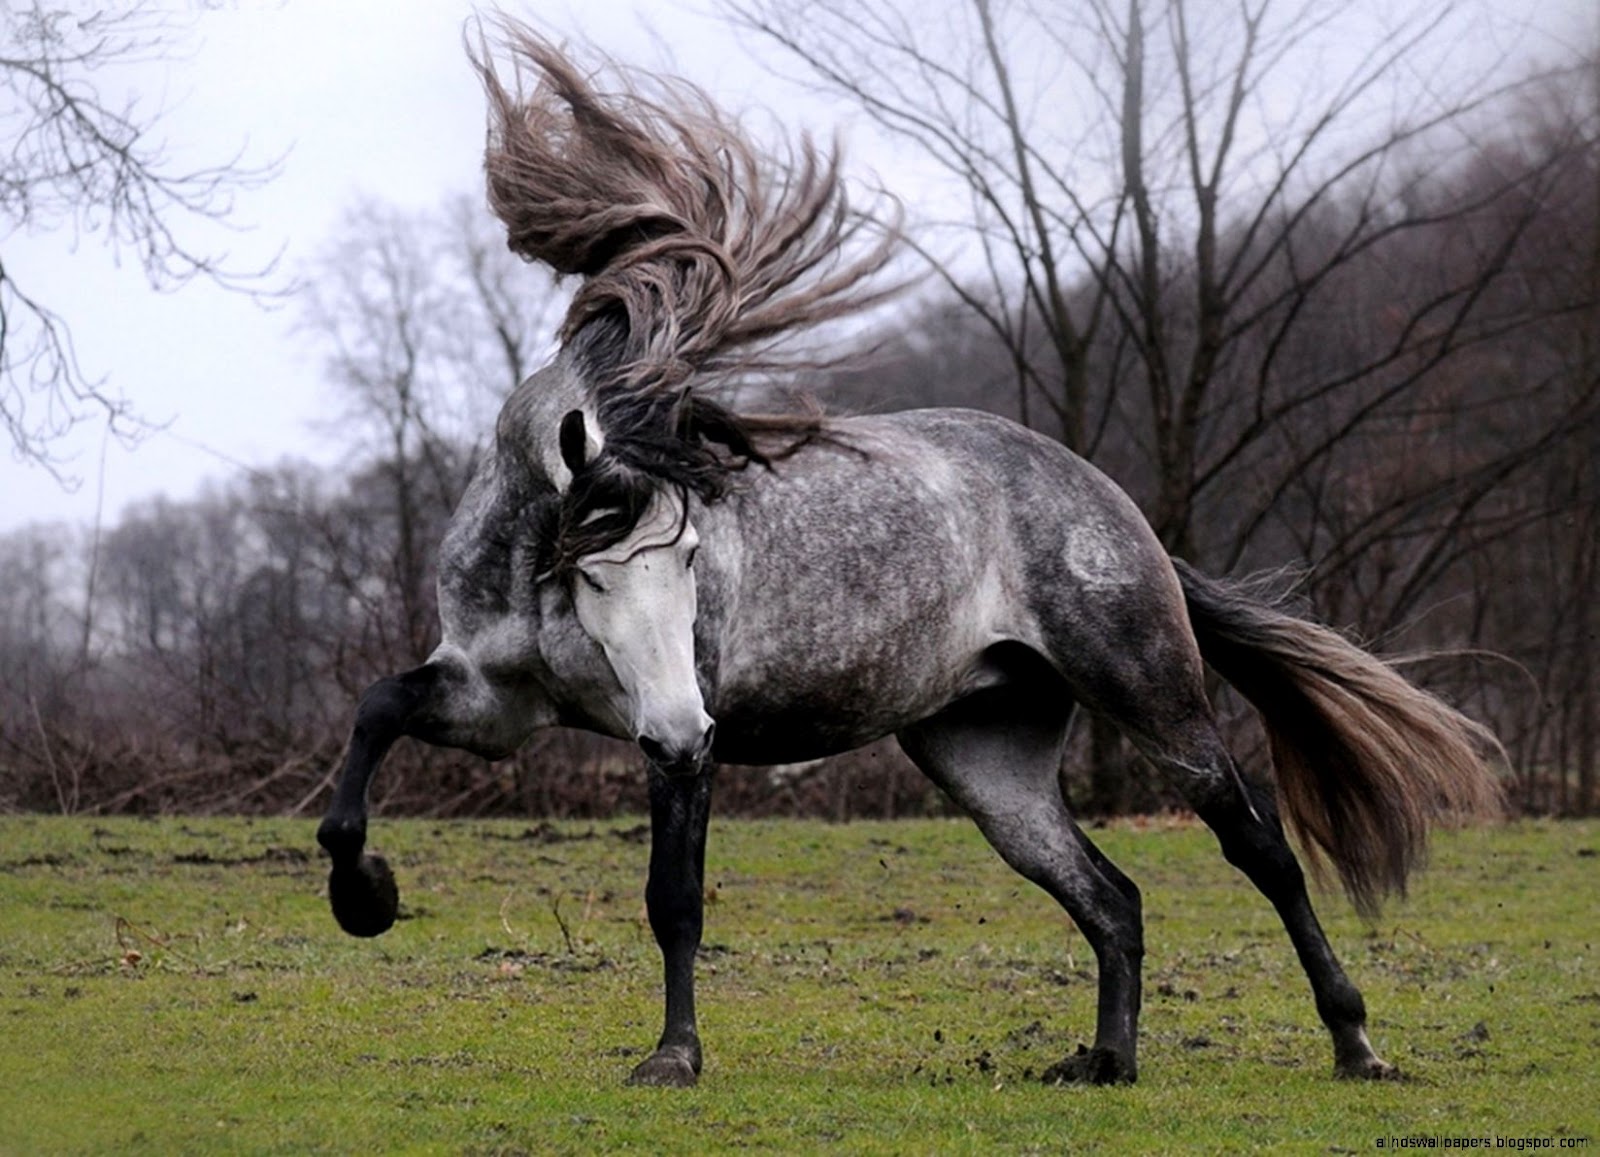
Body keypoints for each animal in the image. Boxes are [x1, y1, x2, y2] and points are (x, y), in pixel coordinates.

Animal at [313, 24, 1501, 1089]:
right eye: (594, 571)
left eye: (693, 561)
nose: (683, 722)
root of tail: (1110, 503)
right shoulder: (493, 705)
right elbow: (374, 713)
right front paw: (364, 893)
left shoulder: (675, 750)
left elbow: (675, 899)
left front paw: (673, 1056)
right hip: (984, 756)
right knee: (1109, 895)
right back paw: (1106, 1061)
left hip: (1155, 699)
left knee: (1260, 849)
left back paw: (1353, 1042)